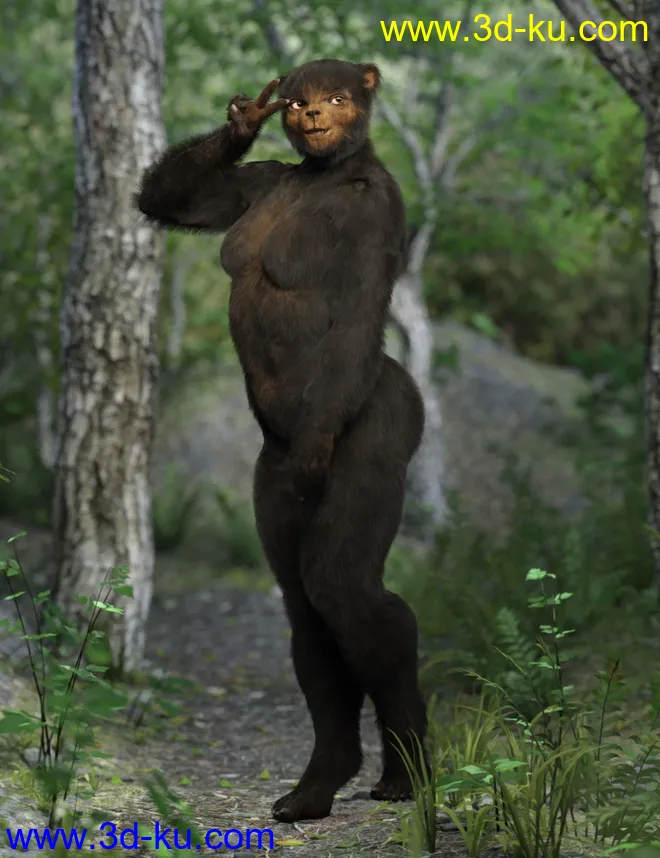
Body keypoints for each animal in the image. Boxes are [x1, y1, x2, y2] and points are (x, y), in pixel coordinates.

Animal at [136, 58, 429, 824]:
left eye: (338, 97)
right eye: (299, 103)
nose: (314, 116)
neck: (328, 175)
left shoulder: (376, 215)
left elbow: (354, 313)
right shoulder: (256, 183)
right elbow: (170, 196)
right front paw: (243, 118)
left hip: (378, 430)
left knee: (345, 590)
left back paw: (406, 771)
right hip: (270, 483)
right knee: (306, 609)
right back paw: (318, 785)